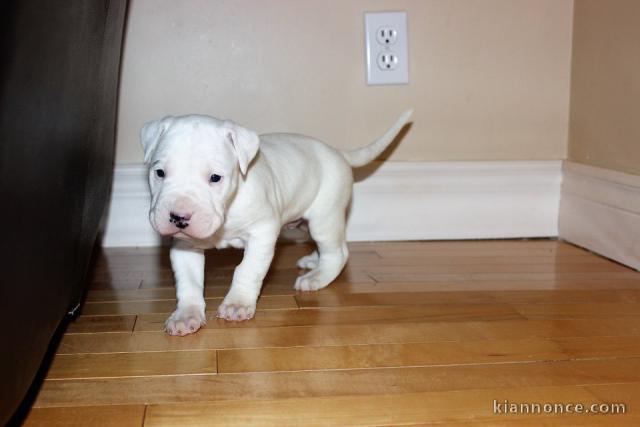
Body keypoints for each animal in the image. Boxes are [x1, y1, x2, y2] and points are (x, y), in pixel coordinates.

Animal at [141, 109, 410, 334]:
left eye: (215, 177)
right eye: (159, 173)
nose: (178, 217)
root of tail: (338, 152)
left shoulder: (263, 233)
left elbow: (247, 270)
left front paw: (237, 303)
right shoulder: (185, 246)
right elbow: (189, 281)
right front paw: (186, 315)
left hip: (324, 218)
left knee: (338, 252)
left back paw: (317, 277)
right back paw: (313, 261)